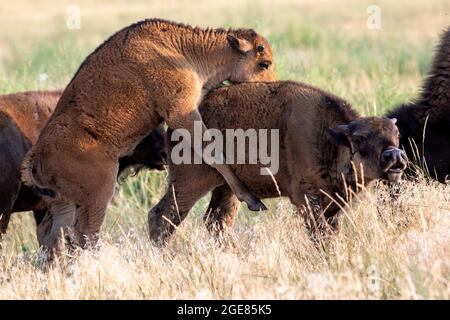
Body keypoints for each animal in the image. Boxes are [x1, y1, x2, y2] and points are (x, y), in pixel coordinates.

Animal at [22, 18, 278, 252]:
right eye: (264, 63)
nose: (272, 87)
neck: (184, 50)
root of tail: (36, 158)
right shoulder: (181, 112)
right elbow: (214, 151)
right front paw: (253, 199)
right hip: (99, 193)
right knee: (85, 234)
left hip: (65, 203)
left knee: (51, 232)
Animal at [149, 80, 408, 245]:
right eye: (359, 139)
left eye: (396, 134)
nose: (395, 155)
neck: (330, 138)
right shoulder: (306, 197)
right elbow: (320, 233)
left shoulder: (335, 204)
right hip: (189, 183)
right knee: (163, 216)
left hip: (226, 188)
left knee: (216, 221)